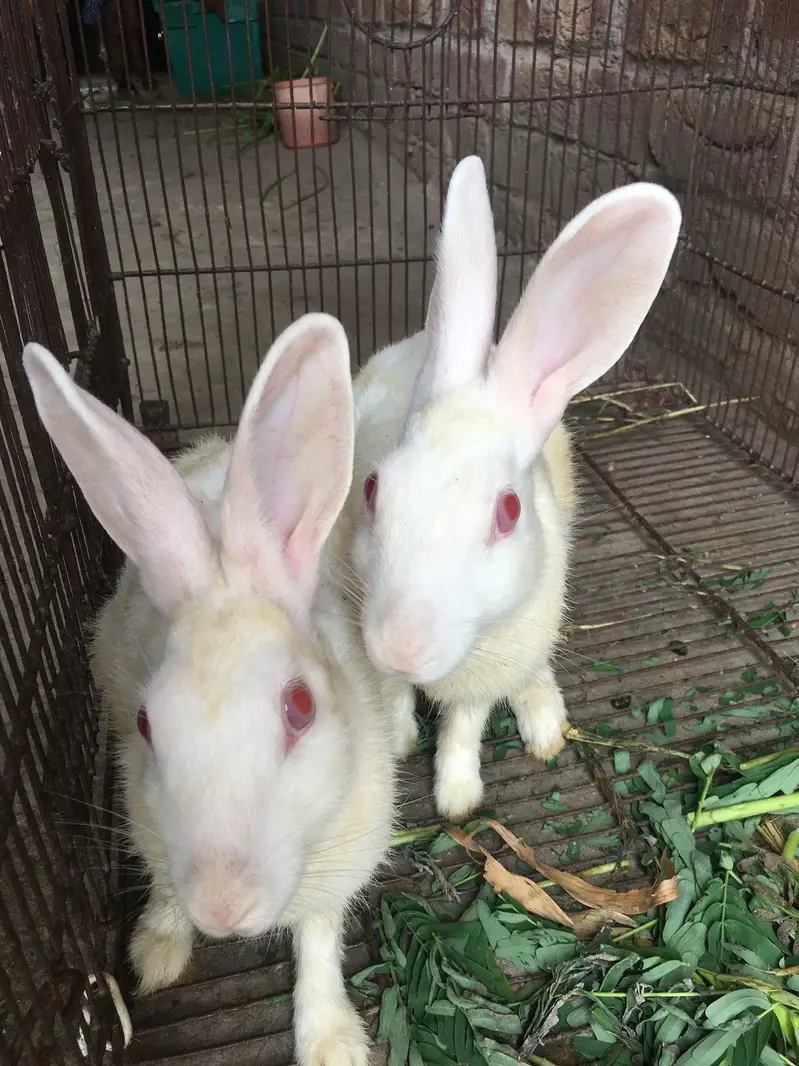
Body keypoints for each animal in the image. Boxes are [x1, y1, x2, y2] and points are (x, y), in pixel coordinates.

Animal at [23, 313, 397, 1066]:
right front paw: (156, 952)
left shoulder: (344, 859)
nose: (224, 908)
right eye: (146, 724)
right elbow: (166, 886)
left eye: (301, 709)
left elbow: (318, 942)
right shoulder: (146, 821)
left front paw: (333, 1043)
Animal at [342, 156, 681, 821]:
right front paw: (400, 742)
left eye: (508, 511)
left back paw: (545, 722)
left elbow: (464, 727)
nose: (401, 646)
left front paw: (456, 798)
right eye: (372, 488)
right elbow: (392, 697)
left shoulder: (487, 674)